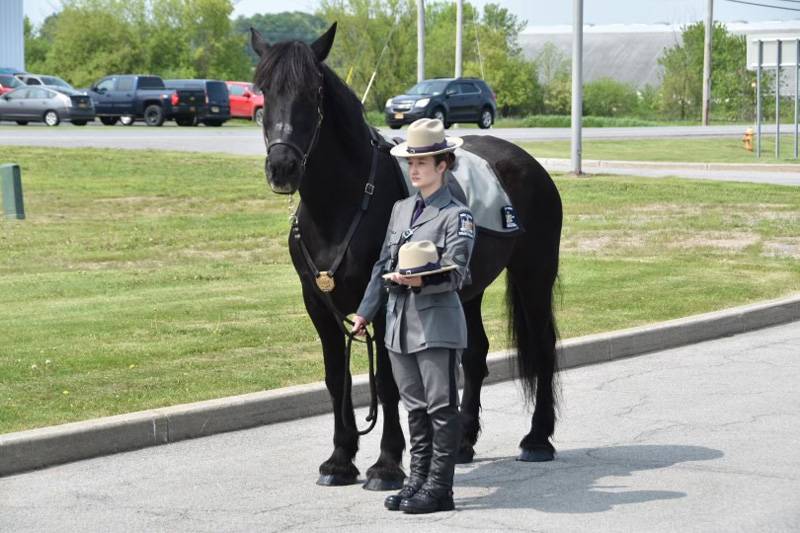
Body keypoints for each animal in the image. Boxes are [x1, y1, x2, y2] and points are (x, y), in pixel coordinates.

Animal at [252, 23, 564, 490]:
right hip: (467, 290)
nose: (282, 168)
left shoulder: (385, 302)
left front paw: (386, 465)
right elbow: (336, 378)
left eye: (313, 91)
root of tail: (532, 165)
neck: (343, 205)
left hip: (534, 274)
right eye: (263, 89)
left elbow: (387, 382)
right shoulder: (318, 305)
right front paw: (340, 460)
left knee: (542, 346)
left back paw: (538, 439)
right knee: (474, 355)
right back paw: (463, 443)